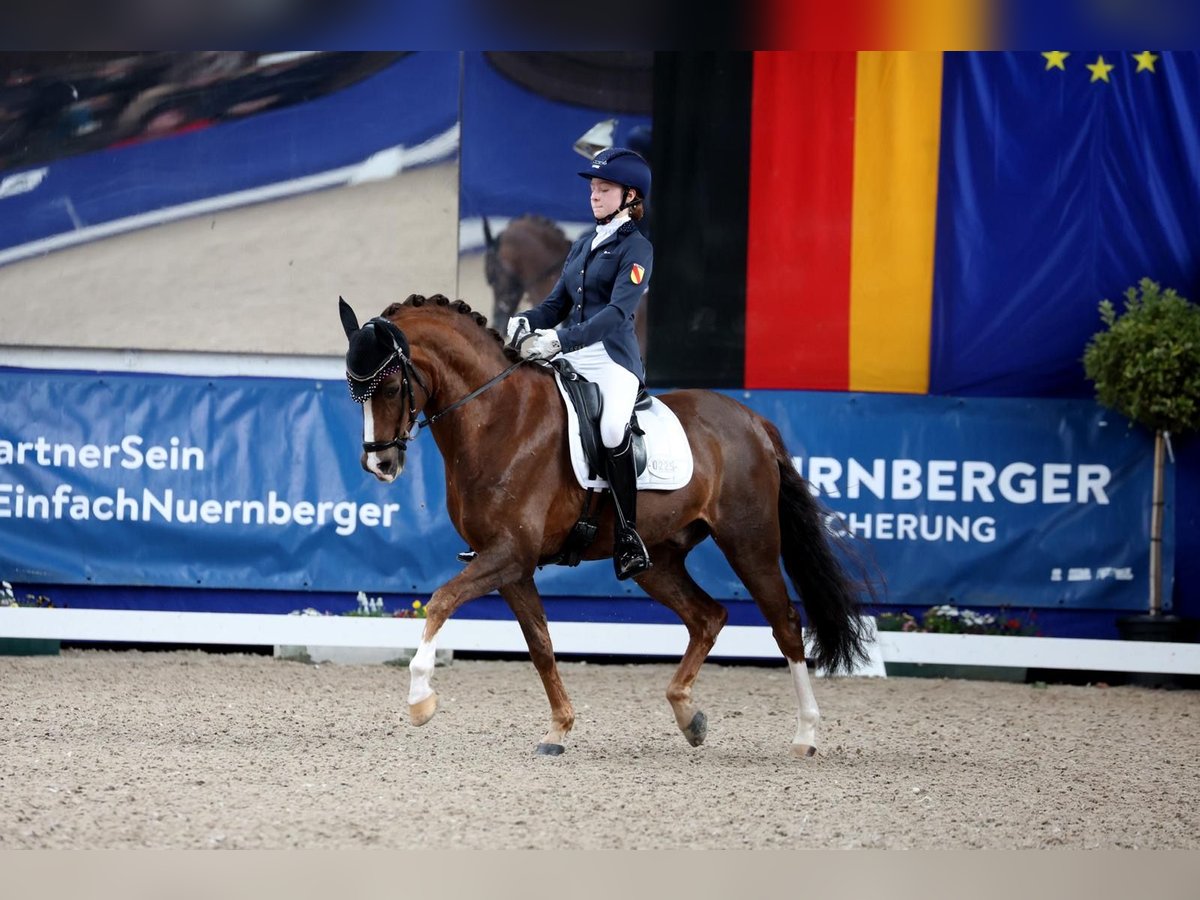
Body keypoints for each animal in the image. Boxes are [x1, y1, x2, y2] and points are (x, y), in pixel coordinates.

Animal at [340, 296, 873, 763]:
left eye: (390, 388)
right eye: (352, 392)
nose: (379, 465)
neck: (499, 418)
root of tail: (752, 420)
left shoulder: (509, 554)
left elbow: (441, 600)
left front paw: (420, 698)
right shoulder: (511, 566)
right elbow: (541, 646)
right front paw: (558, 731)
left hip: (749, 541)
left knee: (785, 624)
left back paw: (805, 735)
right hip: (656, 560)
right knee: (708, 616)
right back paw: (689, 717)